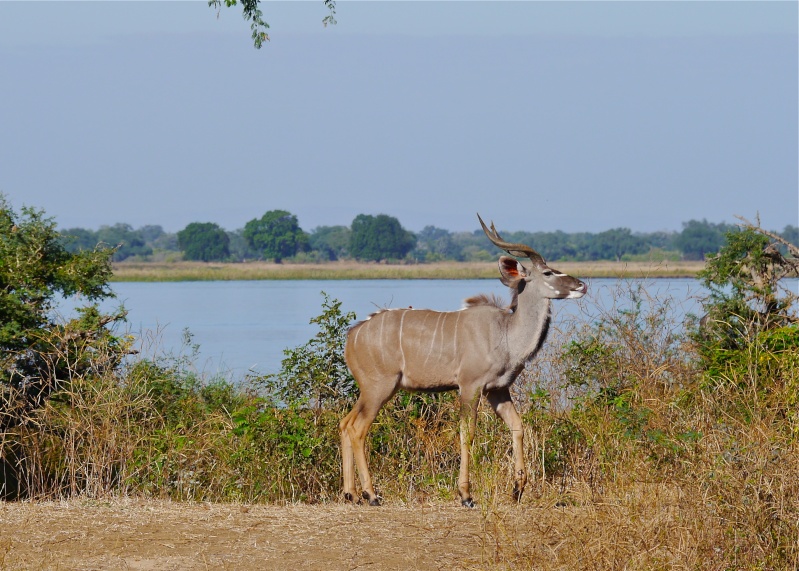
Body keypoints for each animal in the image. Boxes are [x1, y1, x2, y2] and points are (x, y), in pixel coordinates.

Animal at [340, 213, 588, 504]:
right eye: (548, 273)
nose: (582, 285)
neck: (506, 332)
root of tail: (352, 336)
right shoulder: (470, 386)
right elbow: (466, 433)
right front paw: (466, 494)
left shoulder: (498, 390)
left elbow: (517, 426)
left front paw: (517, 489)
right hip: (379, 388)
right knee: (358, 429)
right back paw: (371, 494)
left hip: (372, 390)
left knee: (345, 423)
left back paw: (350, 493)